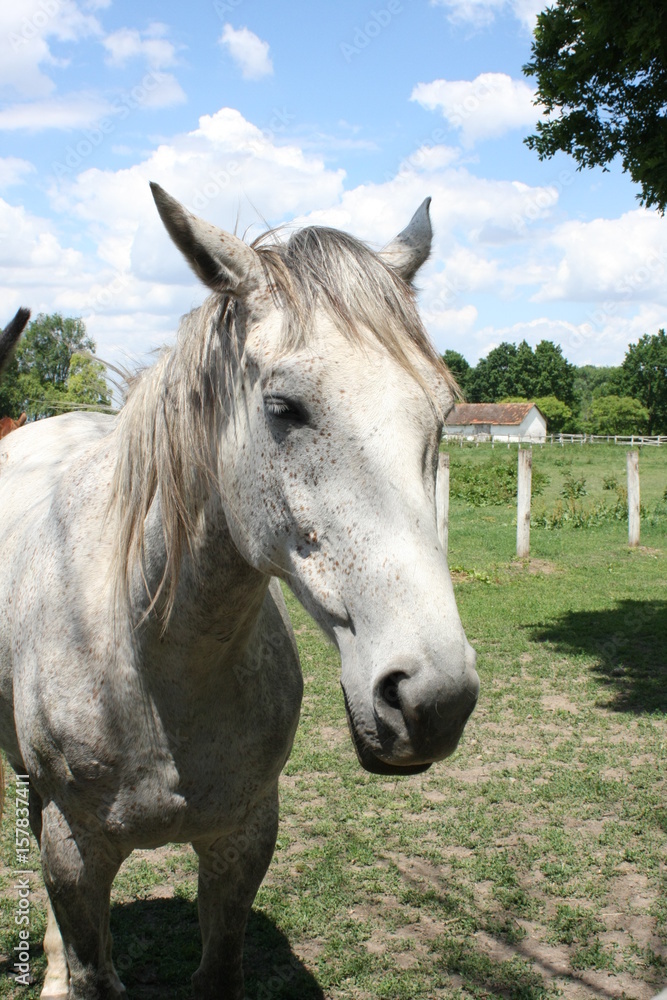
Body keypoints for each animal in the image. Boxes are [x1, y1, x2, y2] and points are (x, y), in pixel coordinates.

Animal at [0, 185, 479, 1000]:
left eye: (441, 413)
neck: (154, 662)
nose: (433, 701)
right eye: (284, 407)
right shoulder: (77, 854)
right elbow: (90, 957)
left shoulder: (244, 840)